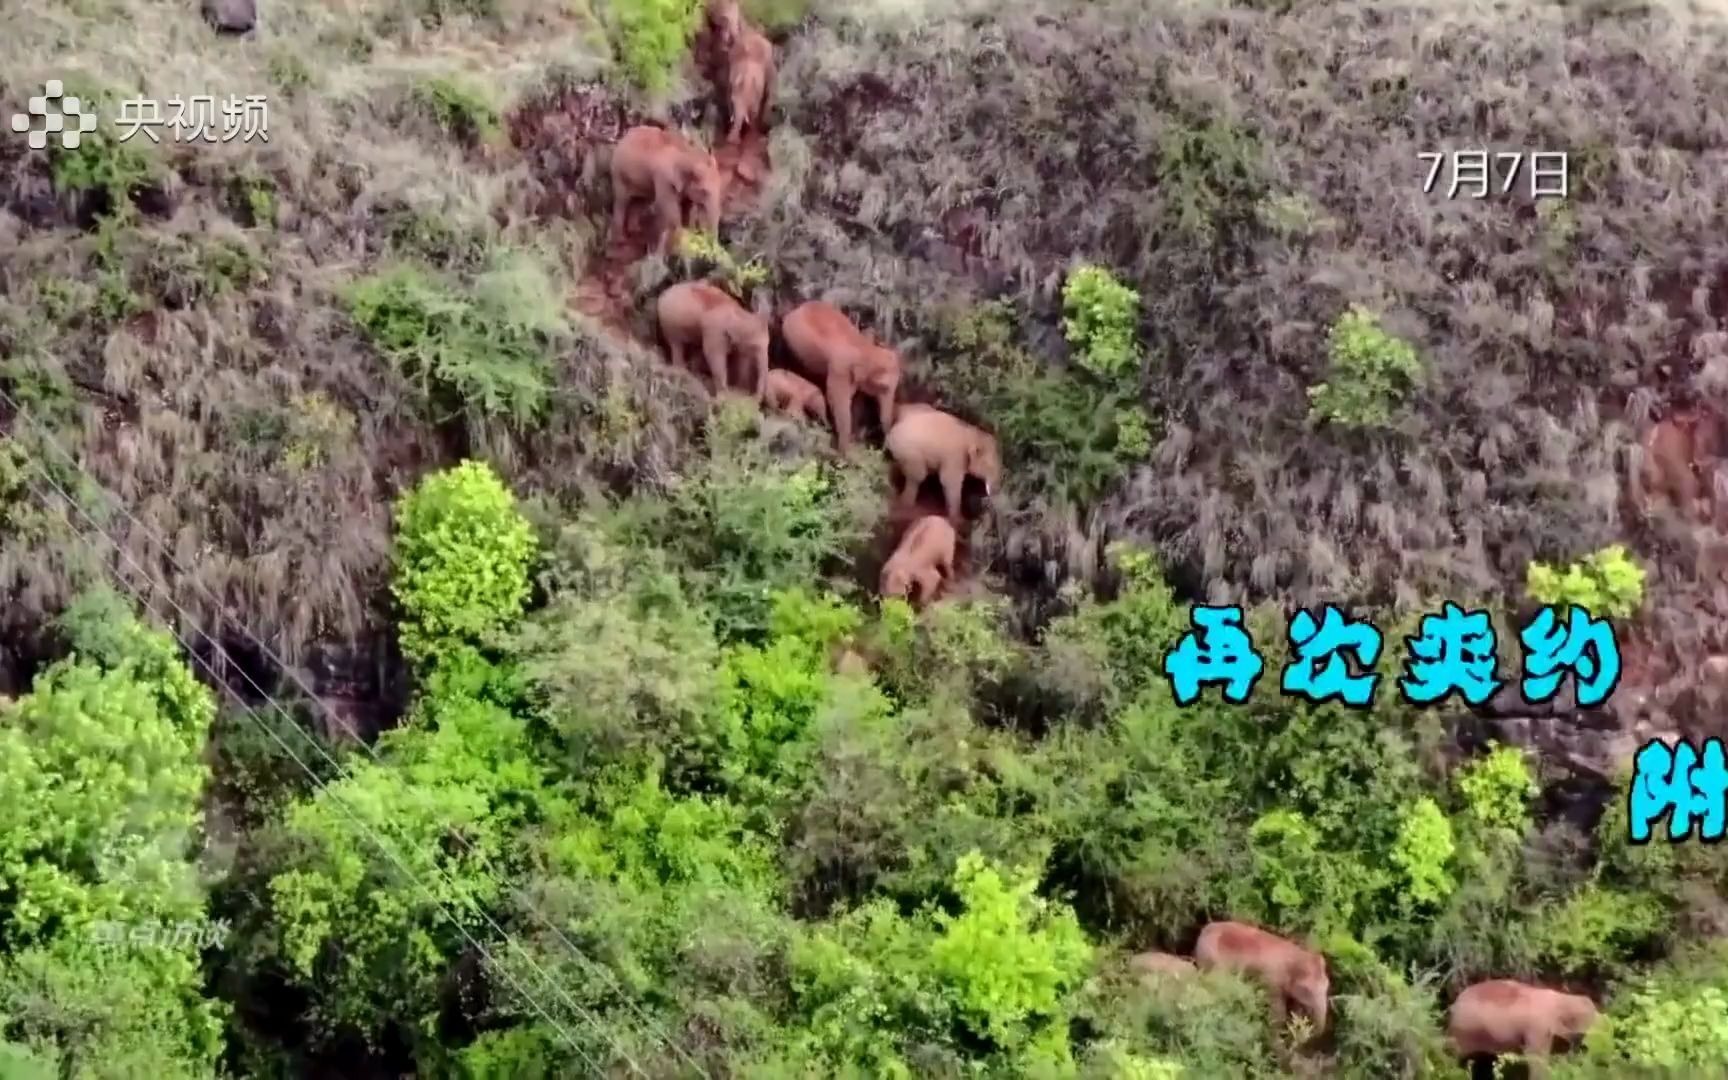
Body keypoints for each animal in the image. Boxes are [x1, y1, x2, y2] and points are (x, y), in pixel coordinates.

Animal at [608, 124, 722, 254]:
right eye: (704, 191)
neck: (690, 155)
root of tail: (624, 137)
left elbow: (687, 207)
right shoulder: (664, 178)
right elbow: (669, 206)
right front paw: (681, 242)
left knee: (641, 201)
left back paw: (636, 232)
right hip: (618, 172)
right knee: (622, 201)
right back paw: (620, 241)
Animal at [784, 300, 905, 452]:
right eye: (883, 387)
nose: (882, 448)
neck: (866, 348)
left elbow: (856, 401)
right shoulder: (840, 369)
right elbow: (837, 401)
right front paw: (845, 451)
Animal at [1437, 974, 1596, 1071]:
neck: (1561, 999)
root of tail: (1454, 1004)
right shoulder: (1538, 1028)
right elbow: (1536, 1060)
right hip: (1463, 1030)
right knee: (1452, 1054)